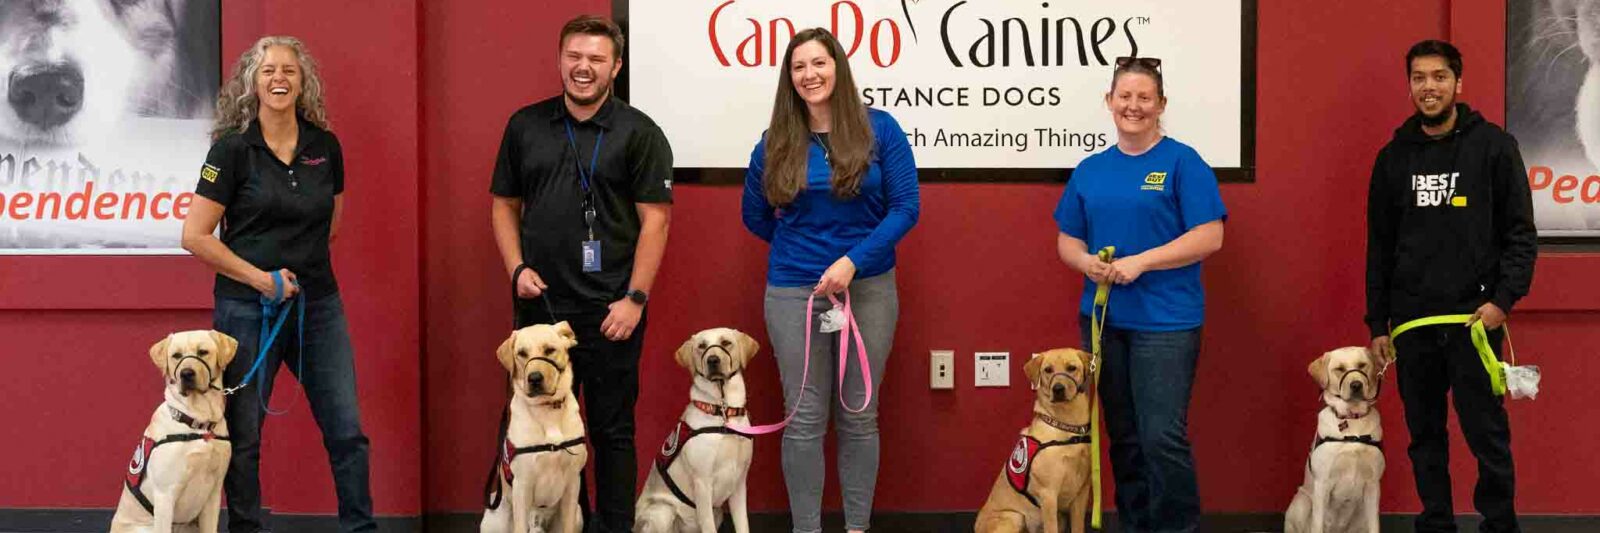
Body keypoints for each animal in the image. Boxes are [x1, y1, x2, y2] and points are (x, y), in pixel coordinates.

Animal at [110, 328, 236, 531]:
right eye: (176, 355)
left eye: (203, 352)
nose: (186, 374)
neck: (198, 421)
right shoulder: (165, 494)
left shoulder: (214, 493)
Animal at [486, 320, 595, 531]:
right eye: (521, 353)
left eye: (550, 350)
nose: (534, 378)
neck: (547, 411)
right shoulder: (522, 485)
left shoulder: (572, 483)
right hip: (495, 517)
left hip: (578, 513)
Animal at [633, 326, 758, 528]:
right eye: (701, 346)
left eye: (726, 343)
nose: (712, 360)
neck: (721, 410)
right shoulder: (702, 483)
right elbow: (708, 527)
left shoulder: (739, 482)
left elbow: (742, 525)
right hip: (662, 512)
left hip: (717, 513)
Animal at [972, 347, 1100, 531]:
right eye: (1048, 370)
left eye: (1071, 368)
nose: (1058, 389)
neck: (1066, 426)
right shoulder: (1049, 495)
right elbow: (1051, 528)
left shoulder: (1081, 493)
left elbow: (1078, 527)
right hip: (1014, 517)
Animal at [1286, 344, 1388, 531]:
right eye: (1339, 369)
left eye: (1362, 365)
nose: (1356, 385)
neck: (1351, 419)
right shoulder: (1322, 483)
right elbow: (1317, 524)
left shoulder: (1373, 485)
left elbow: (1374, 526)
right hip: (1302, 502)